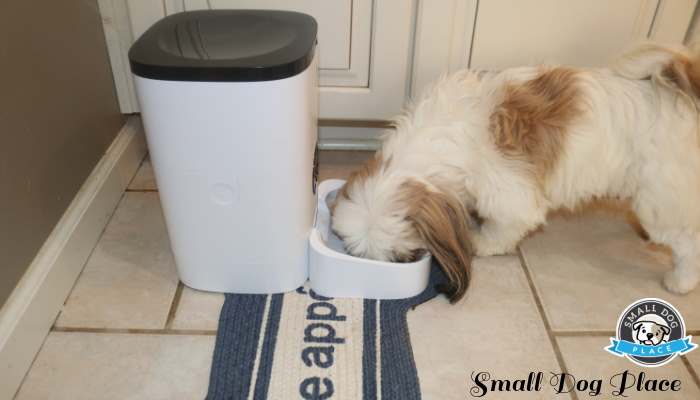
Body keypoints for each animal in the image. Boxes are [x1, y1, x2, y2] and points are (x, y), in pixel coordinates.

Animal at [330, 43, 700, 304]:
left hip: (660, 198)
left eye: (403, 256)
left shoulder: (509, 194)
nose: (397, 267)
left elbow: (505, 227)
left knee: (688, 242)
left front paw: (482, 242)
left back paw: (680, 281)